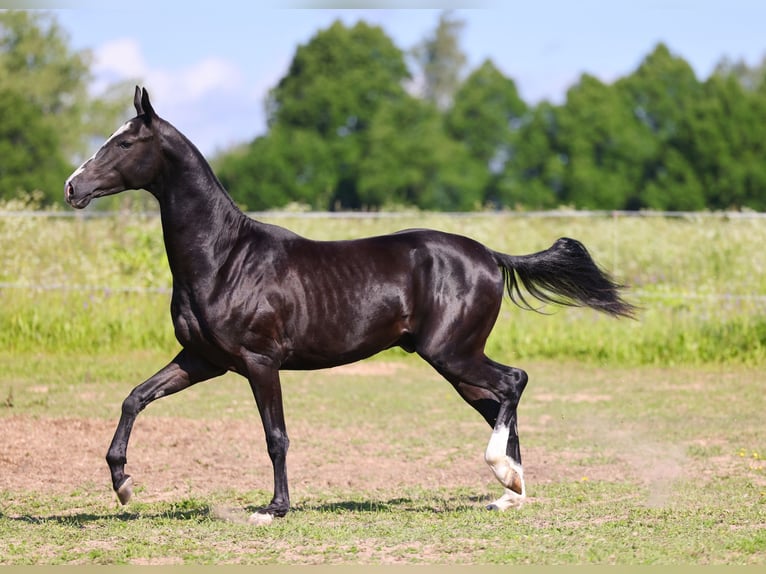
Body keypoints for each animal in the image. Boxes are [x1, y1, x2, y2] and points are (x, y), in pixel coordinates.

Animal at [66, 86, 636, 528]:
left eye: (125, 141)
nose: (73, 187)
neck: (224, 258)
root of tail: (490, 256)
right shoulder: (203, 360)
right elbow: (135, 398)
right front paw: (123, 484)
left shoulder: (259, 362)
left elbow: (275, 436)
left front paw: (274, 509)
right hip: (456, 364)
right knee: (499, 403)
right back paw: (509, 492)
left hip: (452, 353)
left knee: (513, 382)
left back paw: (505, 475)